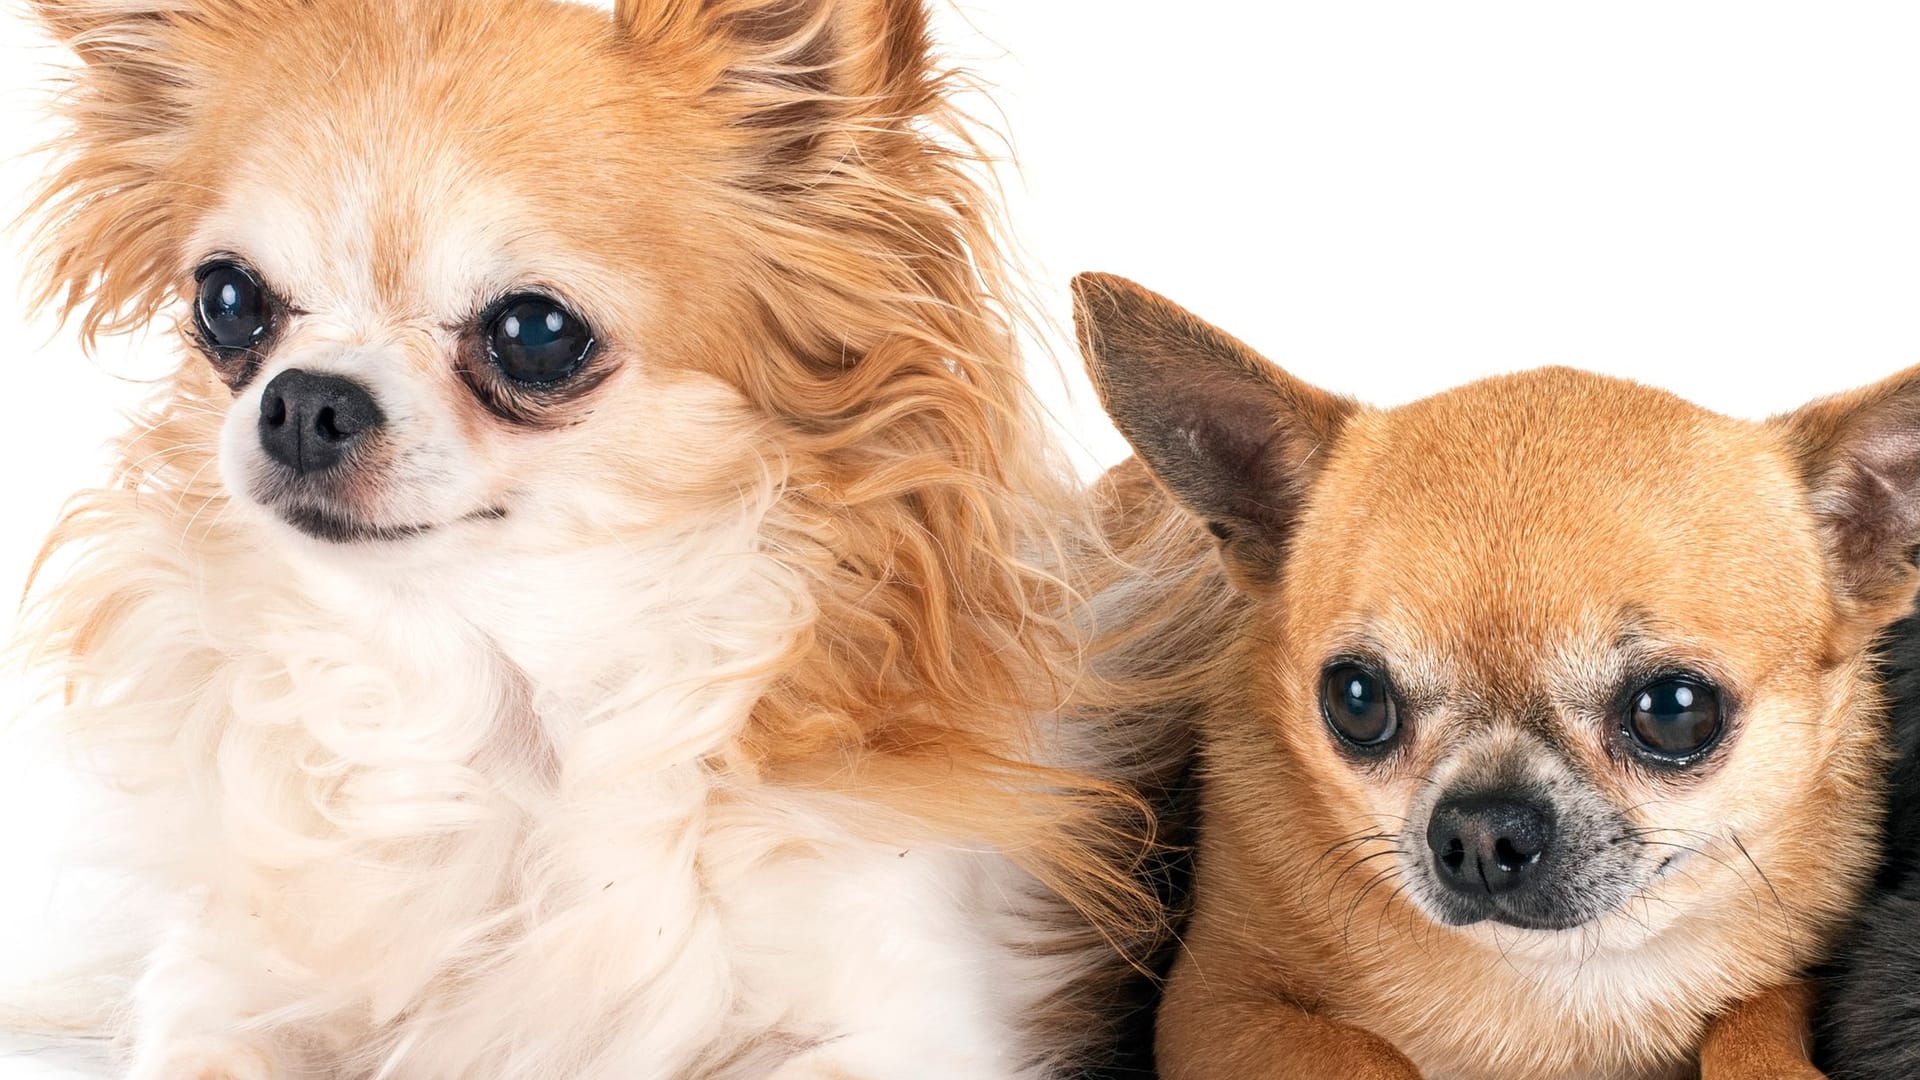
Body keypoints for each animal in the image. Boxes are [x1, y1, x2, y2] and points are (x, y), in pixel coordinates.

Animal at [1082, 272, 1904, 1068]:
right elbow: (1366, 1054)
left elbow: (1752, 1021)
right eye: (1356, 699)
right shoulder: (1215, 1004)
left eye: (1676, 710)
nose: (1482, 831)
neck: (1562, 981)